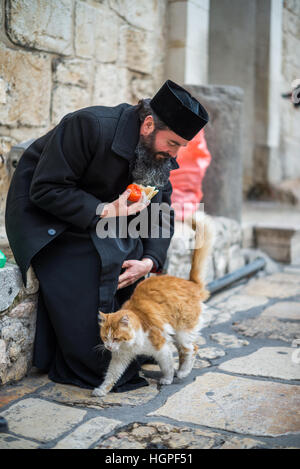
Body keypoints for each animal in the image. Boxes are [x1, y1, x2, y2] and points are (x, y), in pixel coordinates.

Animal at [92, 214, 214, 396]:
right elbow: (111, 376)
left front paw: (167, 379)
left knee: (192, 348)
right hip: (176, 335)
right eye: (105, 337)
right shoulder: (120, 357)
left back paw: (182, 372)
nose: (108, 347)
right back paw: (181, 371)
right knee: (186, 350)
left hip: (182, 332)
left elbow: (167, 366)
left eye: (115, 338)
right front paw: (102, 391)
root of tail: (190, 283)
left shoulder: (161, 347)